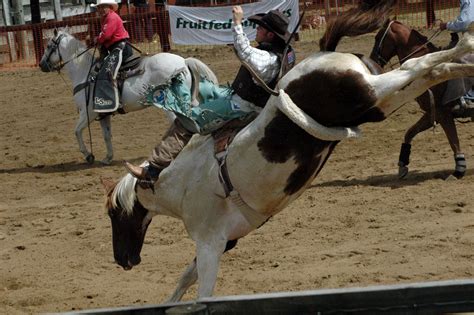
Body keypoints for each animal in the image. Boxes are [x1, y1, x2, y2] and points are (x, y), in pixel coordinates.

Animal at [105, 1, 474, 304]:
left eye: (113, 215)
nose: (123, 260)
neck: (180, 184)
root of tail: (325, 55)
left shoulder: (209, 243)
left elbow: (204, 293)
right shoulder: (227, 240)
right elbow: (185, 278)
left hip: (370, 95)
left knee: (419, 65)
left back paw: (466, 45)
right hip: (377, 102)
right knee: (430, 71)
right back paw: (464, 63)